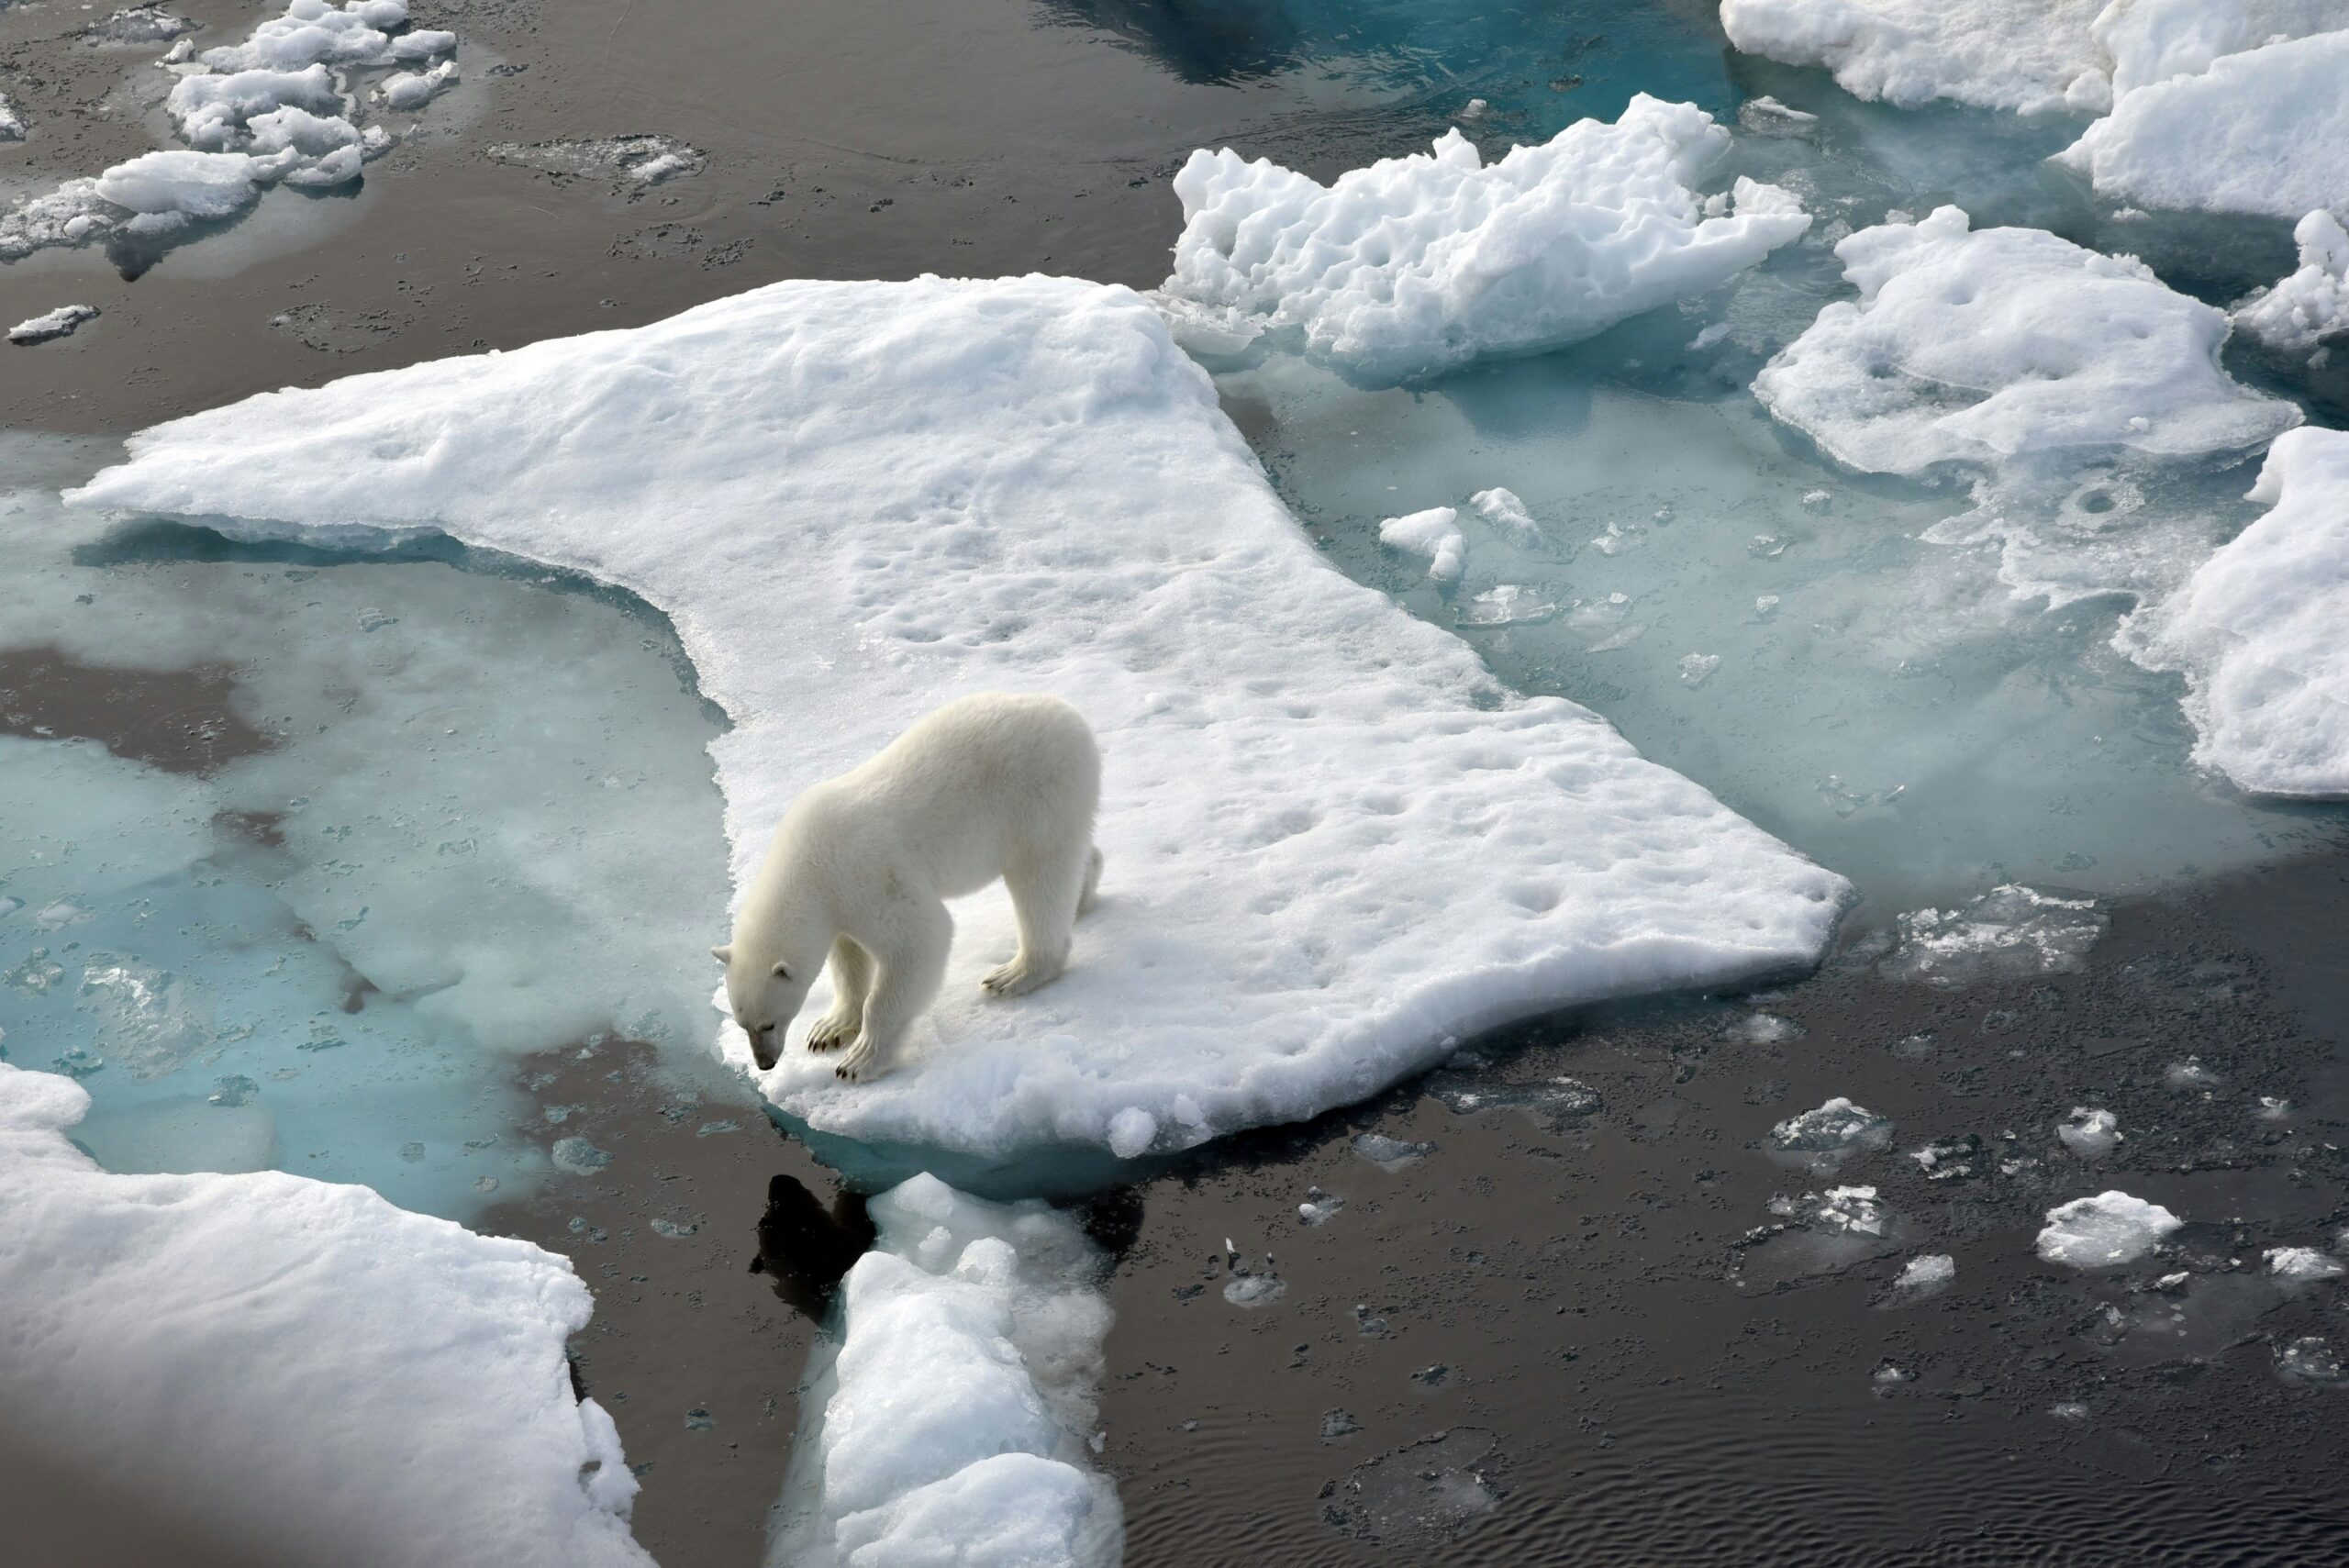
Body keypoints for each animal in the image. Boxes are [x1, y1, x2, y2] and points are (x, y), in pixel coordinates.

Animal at [709, 695, 1104, 1079]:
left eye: (768, 1023)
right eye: (742, 1023)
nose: (765, 1063)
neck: (807, 863)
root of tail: (1074, 719)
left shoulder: (865, 874)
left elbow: (919, 938)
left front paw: (860, 1060)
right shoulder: (838, 902)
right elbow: (849, 957)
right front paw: (829, 1029)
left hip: (1038, 795)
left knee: (1040, 878)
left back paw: (1016, 972)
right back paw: (1082, 895)